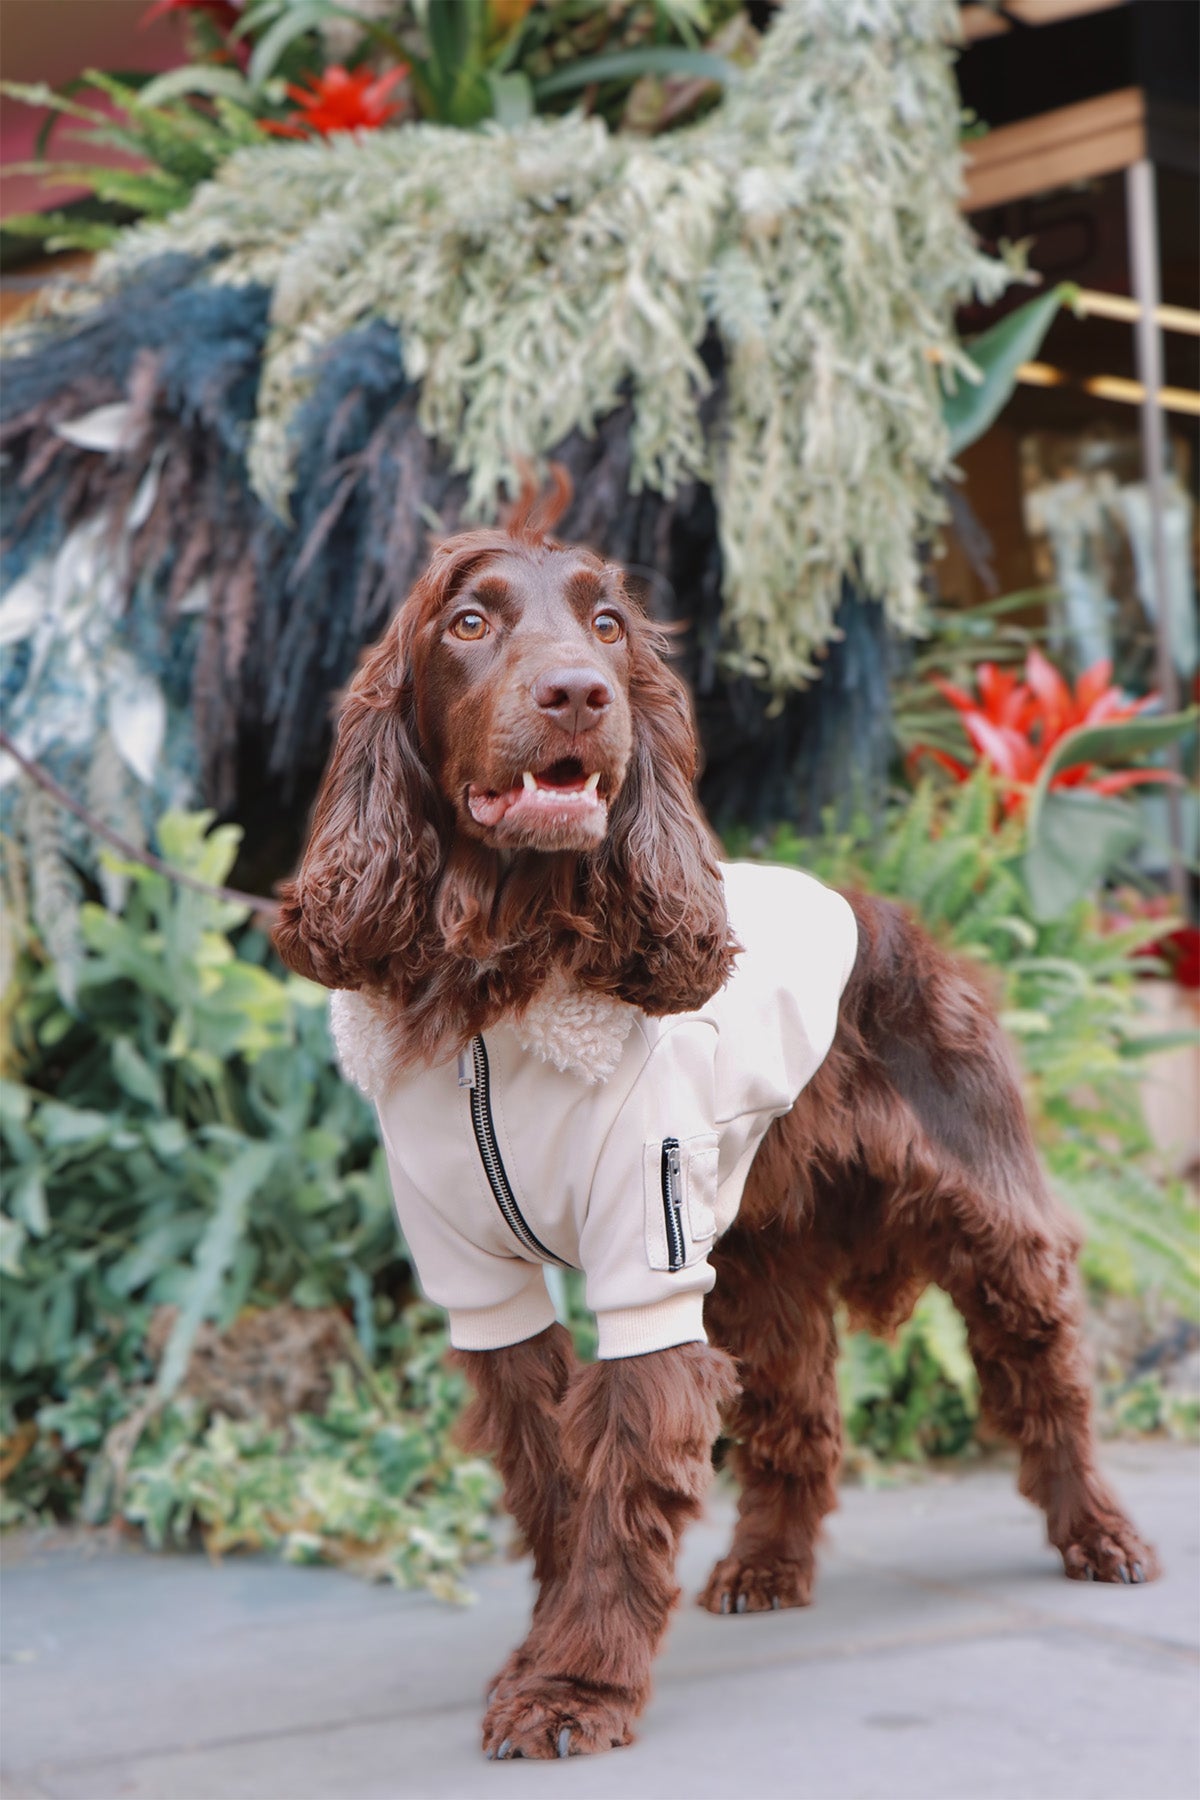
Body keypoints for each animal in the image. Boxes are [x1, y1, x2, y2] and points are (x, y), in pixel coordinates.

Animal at [277, 482, 1158, 1756]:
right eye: (469, 624)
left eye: (606, 625)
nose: (579, 696)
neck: (507, 982)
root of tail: (901, 918)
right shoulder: (485, 1284)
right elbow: (559, 1486)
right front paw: (555, 1653)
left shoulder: (645, 1262)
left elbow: (620, 1483)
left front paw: (572, 1686)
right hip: (760, 1257)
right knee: (804, 1414)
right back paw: (767, 1568)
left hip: (986, 1222)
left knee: (1049, 1378)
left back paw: (1101, 1532)